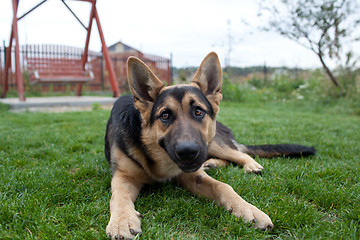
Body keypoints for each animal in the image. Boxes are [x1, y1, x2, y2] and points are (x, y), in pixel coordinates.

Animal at [105, 52, 316, 238]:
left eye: (198, 111)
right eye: (165, 115)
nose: (188, 152)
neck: (159, 159)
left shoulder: (193, 175)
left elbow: (223, 187)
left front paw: (249, 210)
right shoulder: (123, 177)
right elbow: (119, 196)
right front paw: (122, 221)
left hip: (213, 144)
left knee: (240, 154)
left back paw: (250, 165)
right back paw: (213, 163)